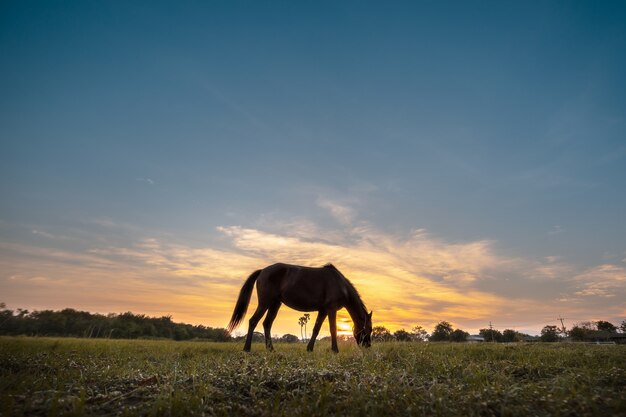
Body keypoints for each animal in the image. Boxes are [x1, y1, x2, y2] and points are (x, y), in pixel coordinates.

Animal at [225, 264, 368, 352]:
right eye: (368, 329)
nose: (368, 346)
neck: (340, 285)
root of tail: (262, 271)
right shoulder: (331, 309)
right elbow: (333, 329)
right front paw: (335, 350)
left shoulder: (323, 310)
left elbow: (316, 329)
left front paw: (309, 349)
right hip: (265, 303)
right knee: (253, 321)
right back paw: (247, 349)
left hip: (275, 304)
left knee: (267, 324)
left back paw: (271, 349)